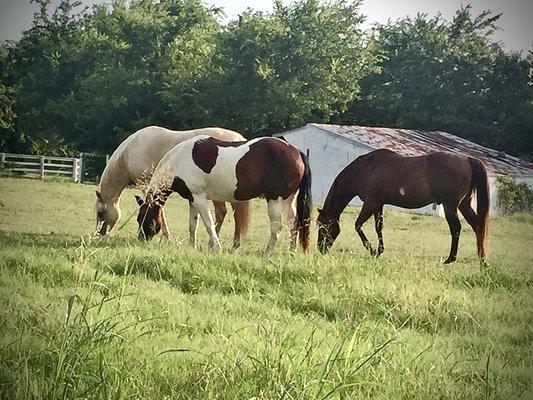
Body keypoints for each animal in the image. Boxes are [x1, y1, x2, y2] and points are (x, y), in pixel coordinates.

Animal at [94, 126, 250, 248]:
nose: (100, 234)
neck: (130, 151)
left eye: (100, 213)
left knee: (222, 213)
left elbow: (159, 211)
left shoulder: (146, 184)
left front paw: (167, 237)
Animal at [136, 136, 312, 252]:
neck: (179, 161)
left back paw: (266, 253)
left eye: (143, 218)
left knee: (277, 227)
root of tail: (297, 151)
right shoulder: (192, 199)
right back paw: (291, 252)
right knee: (294, 223)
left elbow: (208, 224)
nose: (141, 239)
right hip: (288, 200)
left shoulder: (200, 199)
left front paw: (216, 247)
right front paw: (192, 247)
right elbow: (193, 225)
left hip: (274, 200)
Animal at [318, 148, 488, 264]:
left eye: (322, 225)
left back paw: (451, 259)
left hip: (450, 205)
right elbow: (378, 227)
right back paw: (482, 259)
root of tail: (467, 158)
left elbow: (358, 225)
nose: (320, 249)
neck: (366, 169)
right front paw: (379, 251)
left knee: (456, 228)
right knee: (477, 226)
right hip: (464, 205)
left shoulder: (370, 203)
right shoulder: (378, 204)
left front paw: (371, 250)